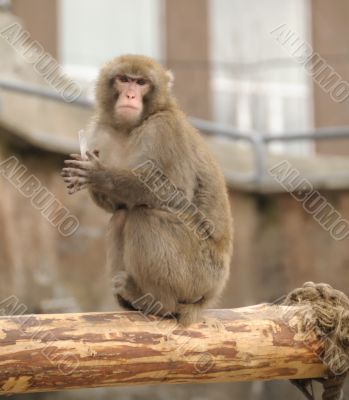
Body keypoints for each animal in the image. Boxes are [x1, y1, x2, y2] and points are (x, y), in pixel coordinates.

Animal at [61, 55, 232, 324]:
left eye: (141, 83)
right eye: (124, 79)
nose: (130, 95)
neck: (132, 126)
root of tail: (211, 295)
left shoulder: (163, 130)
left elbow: (172, 192)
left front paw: (99, 174)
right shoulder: (101, 133)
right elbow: (118, 205)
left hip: (201, 274)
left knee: (144, 217)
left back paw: (159, 303)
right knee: (121, 217)